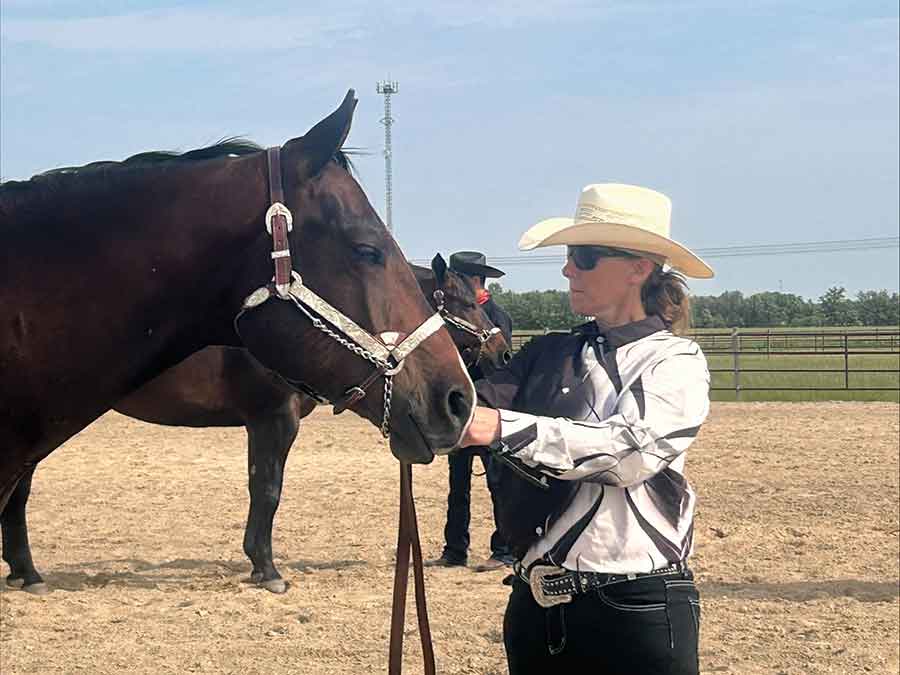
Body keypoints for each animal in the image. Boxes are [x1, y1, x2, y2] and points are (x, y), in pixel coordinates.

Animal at [1, 256, 511, 594]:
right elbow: (267, 490)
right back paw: (28, 573)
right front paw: (267, 570)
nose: (502, 351)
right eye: (462, 301)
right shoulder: (273, 421)